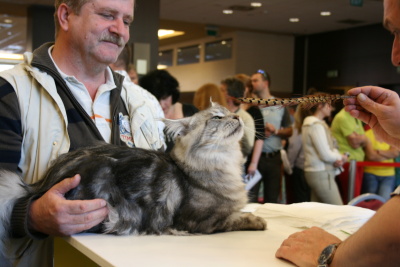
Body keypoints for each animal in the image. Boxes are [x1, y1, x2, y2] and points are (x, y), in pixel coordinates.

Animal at [0, 103, 266, 250]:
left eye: (230, 112)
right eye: (217, 117)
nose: (237, 116)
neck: (224, 163)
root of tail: (38, 184)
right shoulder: (199, 222)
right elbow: (236, 218)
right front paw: (258, 221)